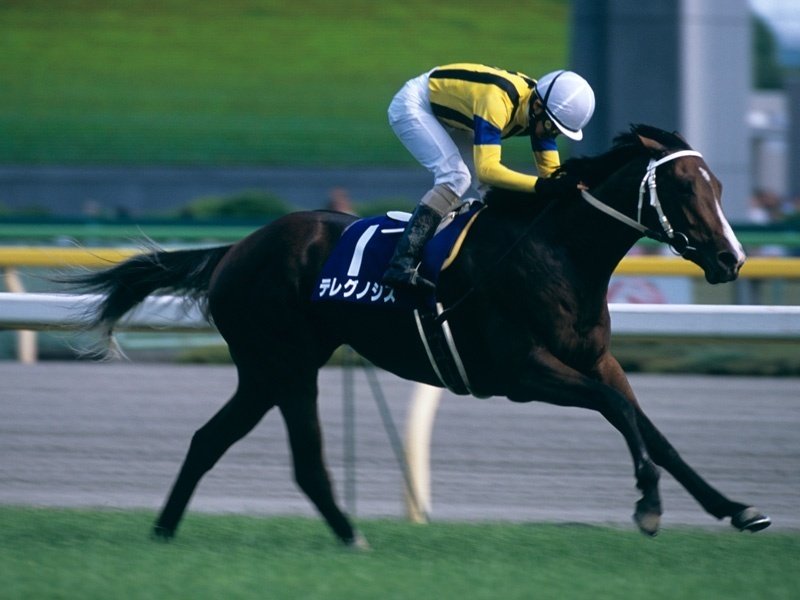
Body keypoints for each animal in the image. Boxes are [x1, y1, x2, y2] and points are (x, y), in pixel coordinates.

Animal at [65, 124, 771, 547]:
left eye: (718, 184)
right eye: (683, 185)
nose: (732, 259)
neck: (558, 252)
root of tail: (236, 248)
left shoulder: (597, 361)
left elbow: (652, 429)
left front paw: (737, 508)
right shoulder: (523, 371)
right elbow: (621, 414)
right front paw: (647, 506)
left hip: (276, 369)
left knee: (220, 441)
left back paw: (173, 531)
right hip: (281, 363)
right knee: (288, 455)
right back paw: (343, 536)